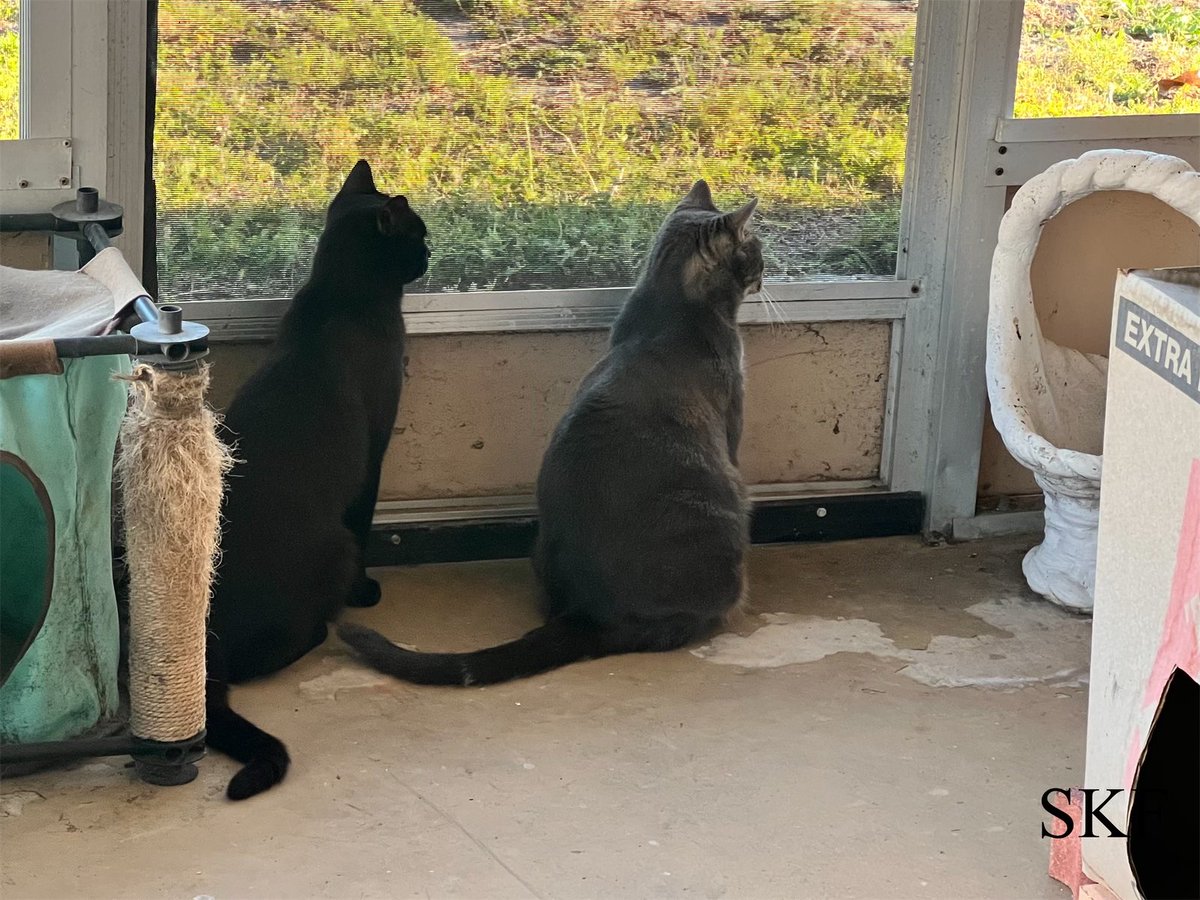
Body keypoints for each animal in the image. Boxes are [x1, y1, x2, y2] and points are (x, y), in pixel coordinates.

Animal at [206, 162, 432, 801]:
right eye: (417, 234)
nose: (432, 252)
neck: (338, 295)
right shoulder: (376, 446)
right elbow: (368, 510)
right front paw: (366, 591)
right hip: (335, 545)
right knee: (263, 660)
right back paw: (325, 629)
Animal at [343, 177, 763, 681]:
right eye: (755, 249)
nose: (766, 270)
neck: (670, 306)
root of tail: (587, 615)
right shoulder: (733, 418)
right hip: (726, 510)